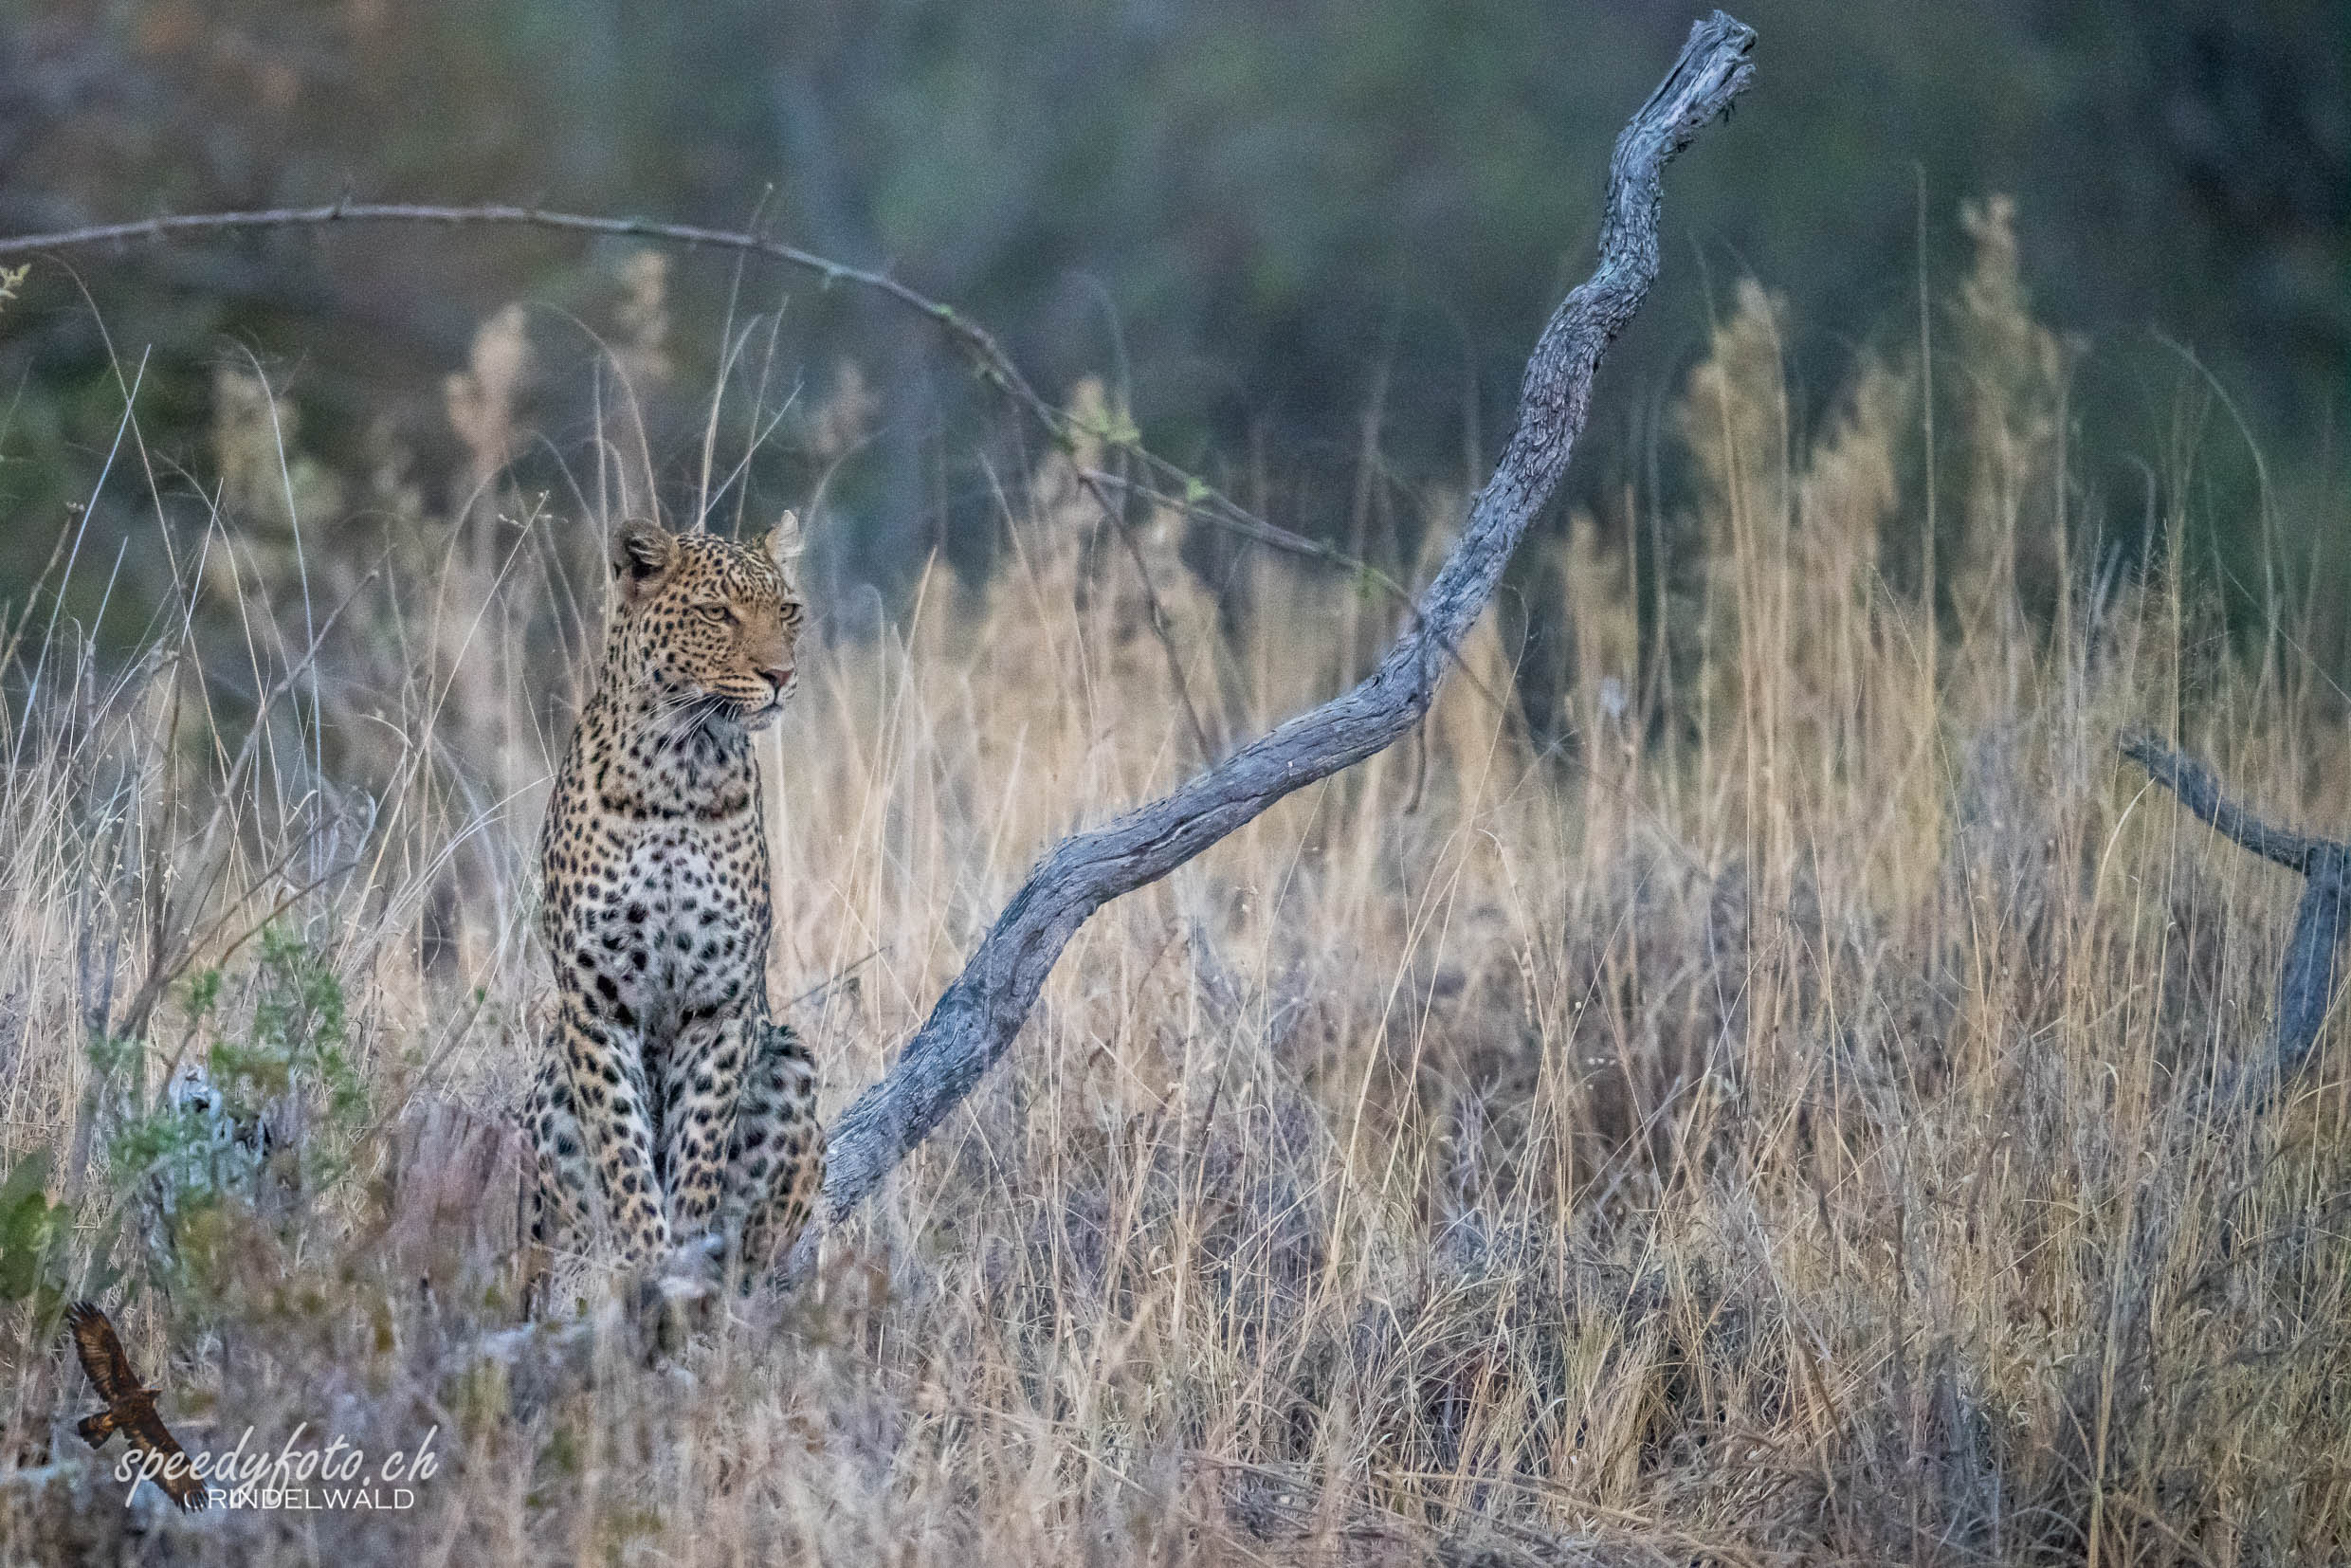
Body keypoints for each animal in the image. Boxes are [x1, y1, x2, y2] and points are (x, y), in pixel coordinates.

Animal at [524, 517, 827, 1316]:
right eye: (718, 614)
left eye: (788, 611)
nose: (781, 675)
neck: (679, 770)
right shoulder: (597, 1003)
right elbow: (624, 1150)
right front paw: (646, 1264)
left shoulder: (719, 1002)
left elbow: (698, 1149)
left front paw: (685, 1267)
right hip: (548, 1085)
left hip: (791, 1059)